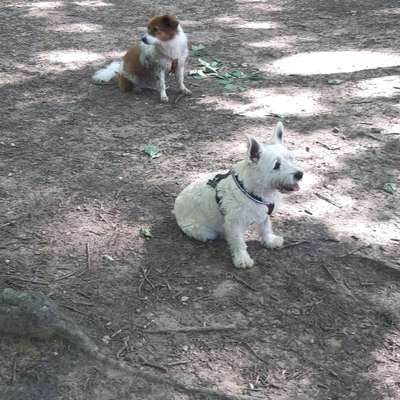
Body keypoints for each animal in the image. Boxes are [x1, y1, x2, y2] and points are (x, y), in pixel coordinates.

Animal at [174, 122, 304, 268]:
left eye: (291, 158)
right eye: (276, 165)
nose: (299, 174)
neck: (254, 189)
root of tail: (176, 206)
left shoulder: (264, 214)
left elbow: (266, 227)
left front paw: (270, 240)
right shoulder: (234, 222)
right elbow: (239, 241)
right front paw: (242, 259)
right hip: (202, 230)